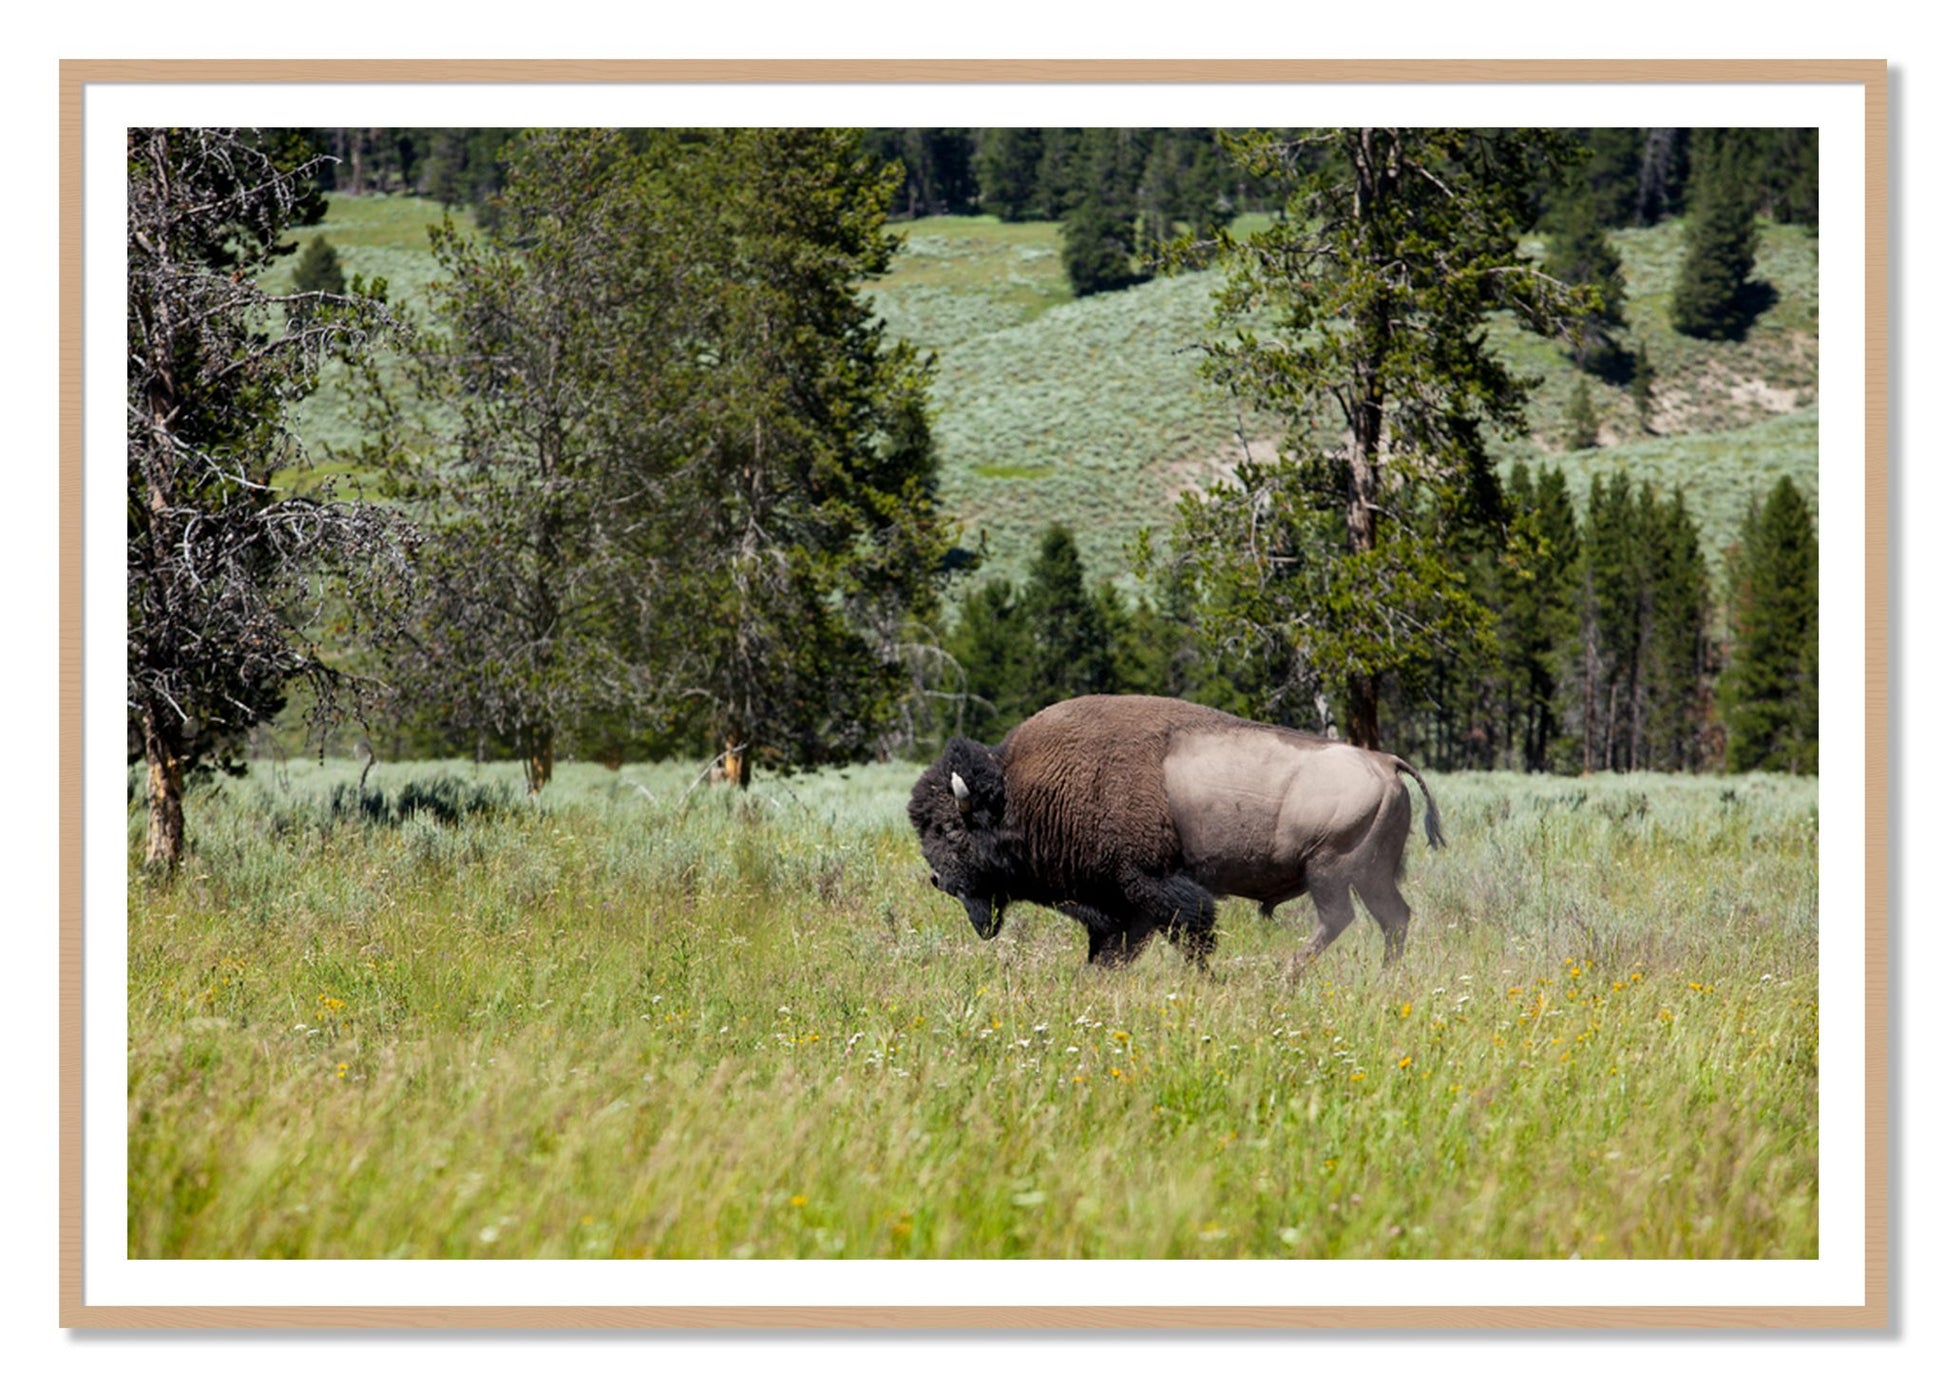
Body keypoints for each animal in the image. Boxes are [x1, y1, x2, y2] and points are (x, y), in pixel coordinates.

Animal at [908, 694, 1445, 971]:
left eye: (952, 830)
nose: (939, 880)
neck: (1023, 791)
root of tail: (1385, 762)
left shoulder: (1150, 885)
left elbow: (1190, 933)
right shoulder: (1120, 905)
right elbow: (1113, 949)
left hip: (1330, 871)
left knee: (1341, 920)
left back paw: (1286, 975)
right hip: (1370, 876)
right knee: (1393, 919)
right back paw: (1383, 977)